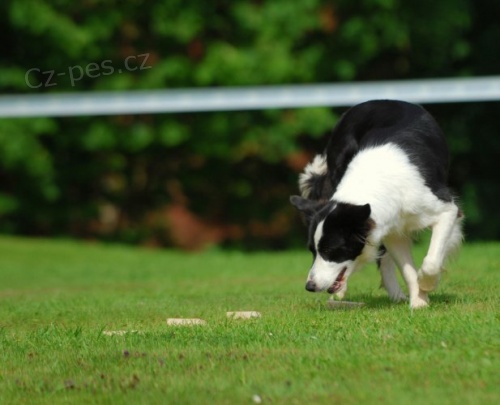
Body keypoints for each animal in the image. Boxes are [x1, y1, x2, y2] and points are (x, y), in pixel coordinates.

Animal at [290, 100, 463, 308]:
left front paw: (426, 286)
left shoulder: (445, 209)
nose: (310, 286)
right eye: (312, 251)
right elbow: (406, 268)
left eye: (330, 250)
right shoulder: (392, 230)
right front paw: (419, 302)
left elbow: (431, 260)